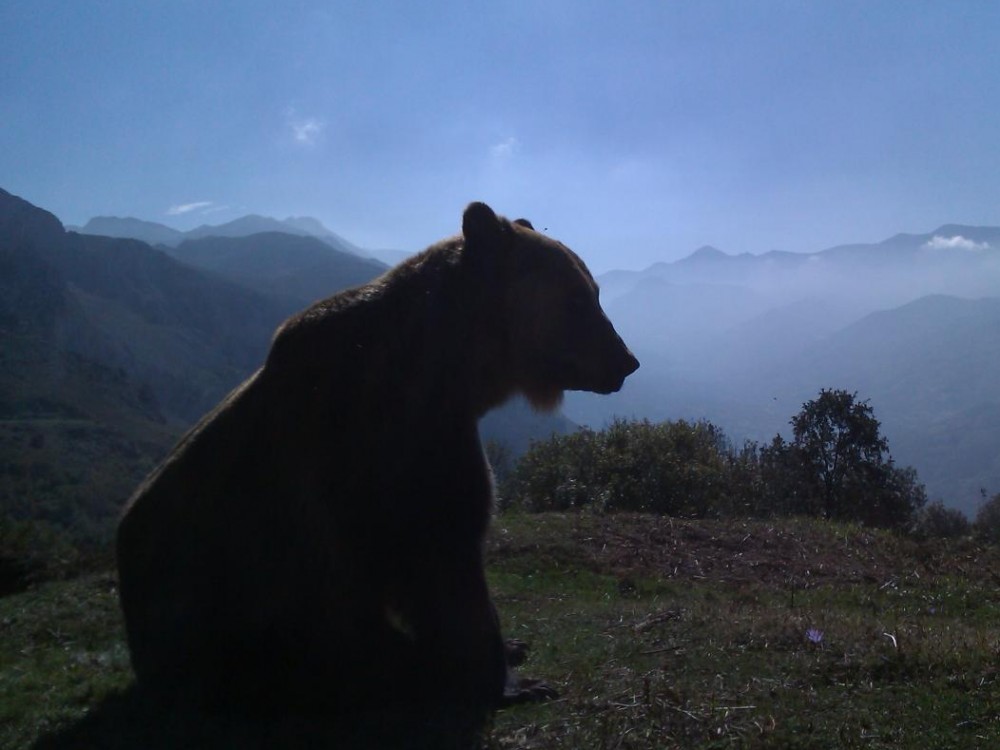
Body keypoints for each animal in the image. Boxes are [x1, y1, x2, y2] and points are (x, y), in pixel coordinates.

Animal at [115, 202, 639, 738]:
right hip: (248, 622)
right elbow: (442, 551)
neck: (455, 369)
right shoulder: (392, 443)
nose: (626, 360)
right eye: (578, 297)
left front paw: (510, 652)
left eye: (592, 290)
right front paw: (511, 680)